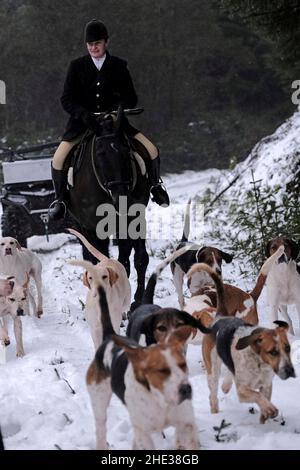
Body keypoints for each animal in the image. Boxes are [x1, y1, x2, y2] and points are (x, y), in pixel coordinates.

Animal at [66, 107, 150, 306]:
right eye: (100, 153)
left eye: (126, 151)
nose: (121, 198)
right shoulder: (90, 228)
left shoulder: (132, 219)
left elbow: (134, 260)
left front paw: (137, 301)